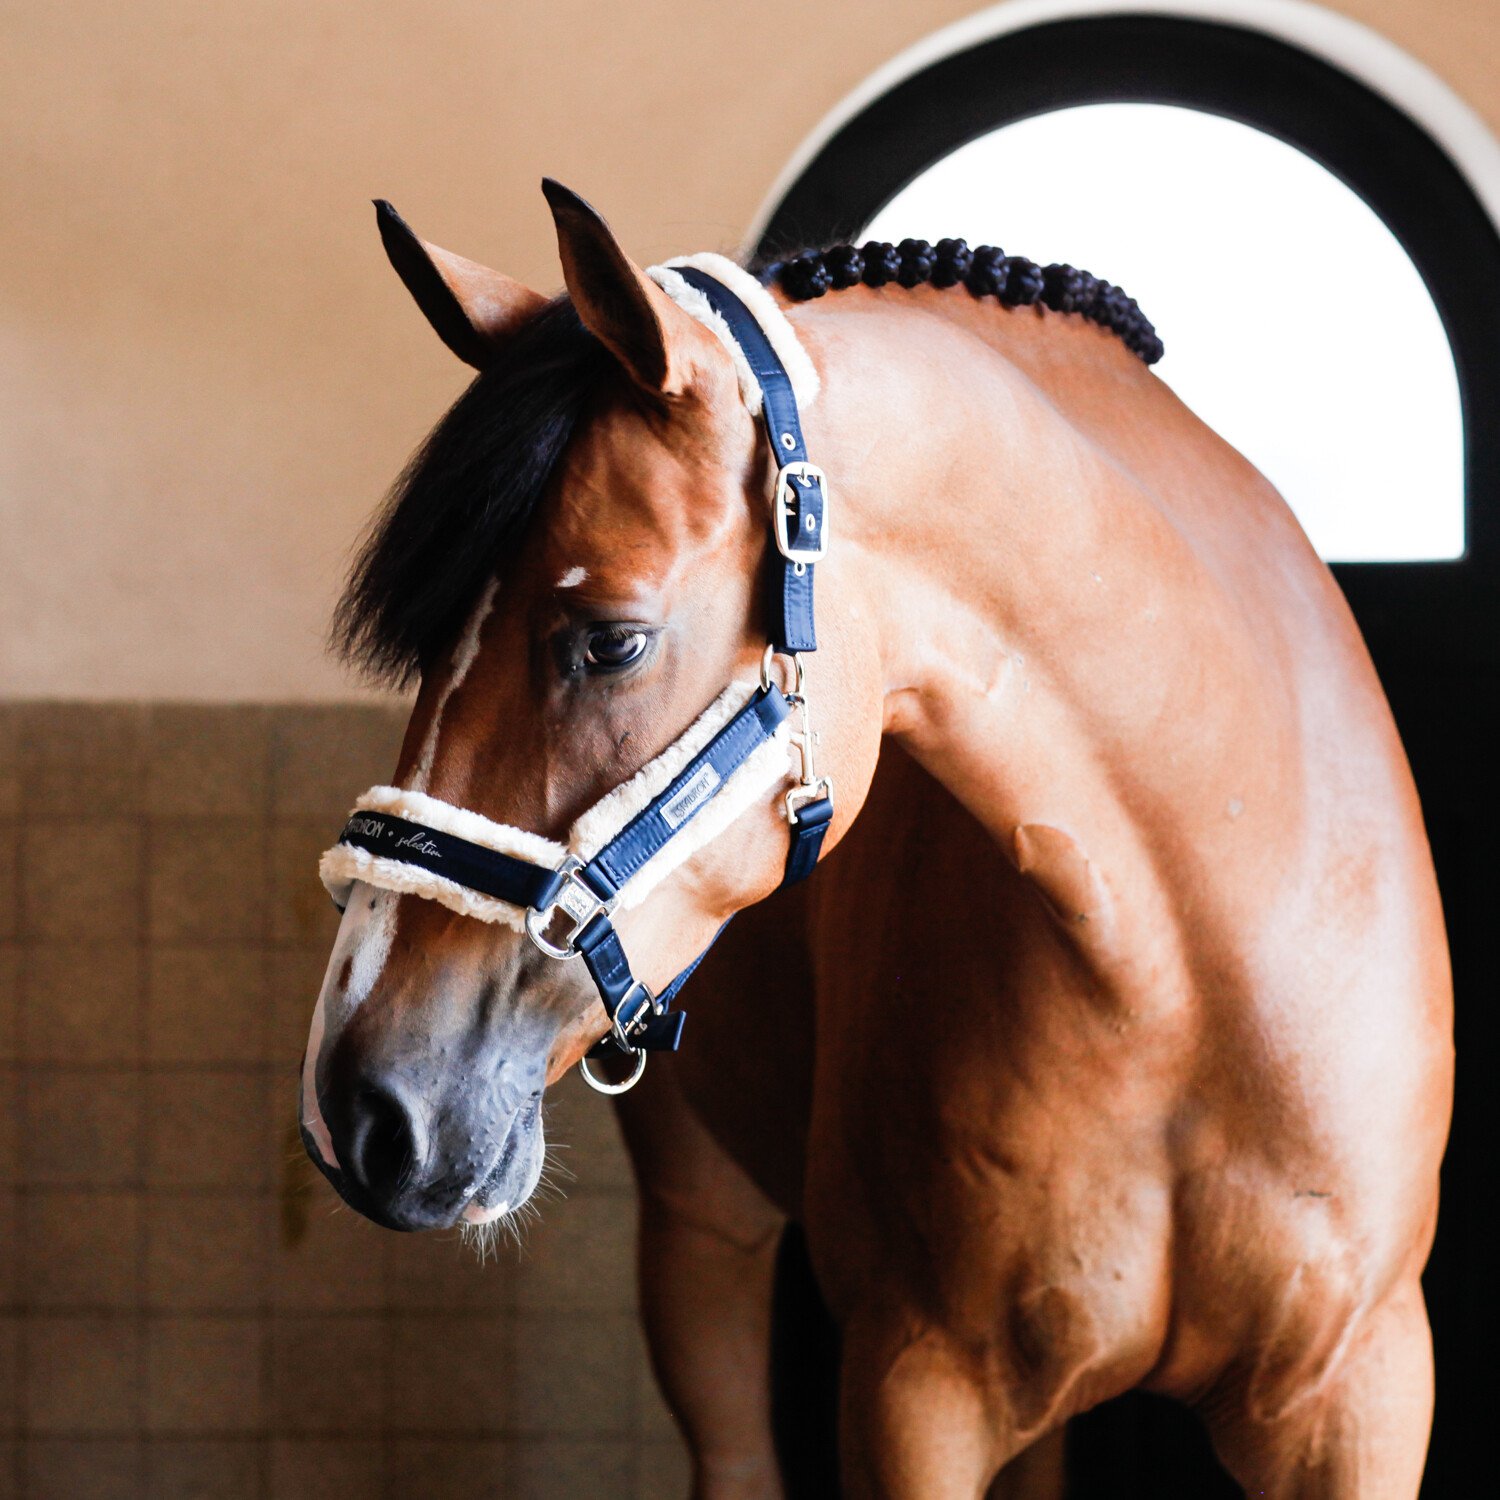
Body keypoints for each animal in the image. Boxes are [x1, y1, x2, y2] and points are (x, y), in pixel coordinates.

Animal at [295, 178, 1452, 1500]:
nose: (359, 1106)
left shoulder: (1358, 1395)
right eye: (429, 642)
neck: (1196, 966)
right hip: (707, 1231)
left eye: (611, 640)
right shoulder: (914, 1384)